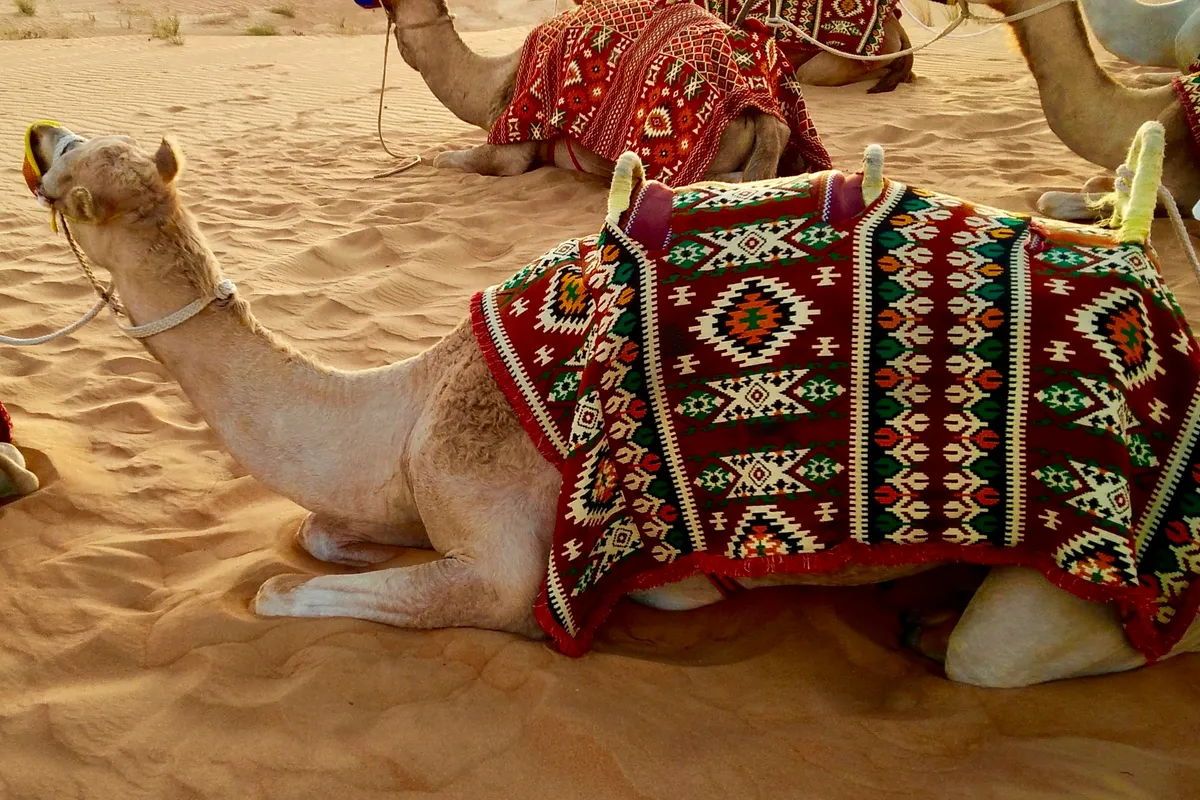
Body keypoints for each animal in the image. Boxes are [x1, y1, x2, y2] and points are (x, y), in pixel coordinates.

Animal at [23, 120, 1200, 688]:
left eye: (75, 170)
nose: (37, 133)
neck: (409, 401)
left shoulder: (502, 557)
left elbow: (286, 588)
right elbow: (319, 534)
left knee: (1025, 652)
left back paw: (938, 627)